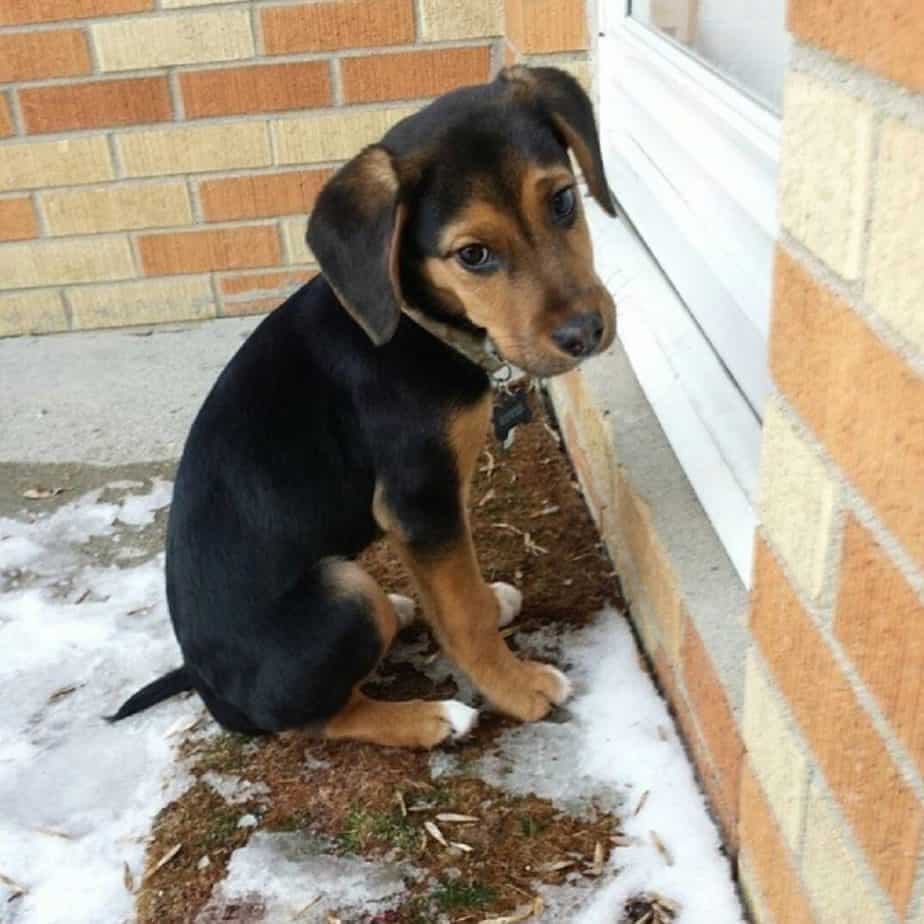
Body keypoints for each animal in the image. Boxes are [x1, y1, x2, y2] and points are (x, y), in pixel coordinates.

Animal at [112, 65, 616, 748]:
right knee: (324, 718)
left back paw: (402, 613)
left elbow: (460, 593)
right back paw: (433, 717)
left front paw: (493, 606)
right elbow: (463, 614)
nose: (585, 333)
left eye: (563, 200)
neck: (414, 320)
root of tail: (212, 693)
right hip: (344, 590)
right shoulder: (419, 499)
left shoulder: (428, 516)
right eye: (473, 255)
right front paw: (517, 688)